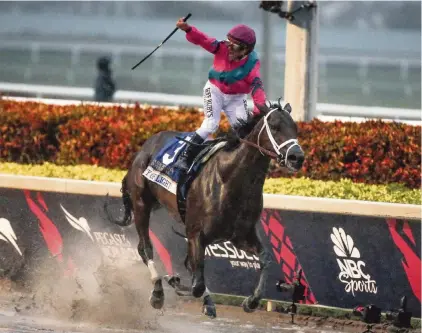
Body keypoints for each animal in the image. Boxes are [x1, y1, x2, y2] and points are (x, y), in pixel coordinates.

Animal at [104, 98, 304, 314]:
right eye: (275, 127)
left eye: (295, 128)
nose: (297, 157)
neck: (229, 179)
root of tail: (146, 146)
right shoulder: (196, 234)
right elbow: (197, 284)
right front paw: (175, 281)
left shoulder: (240, 235)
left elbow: (265, 258)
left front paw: (251, 301)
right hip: (141, 204)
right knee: (146, 248)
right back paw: (158, 291)